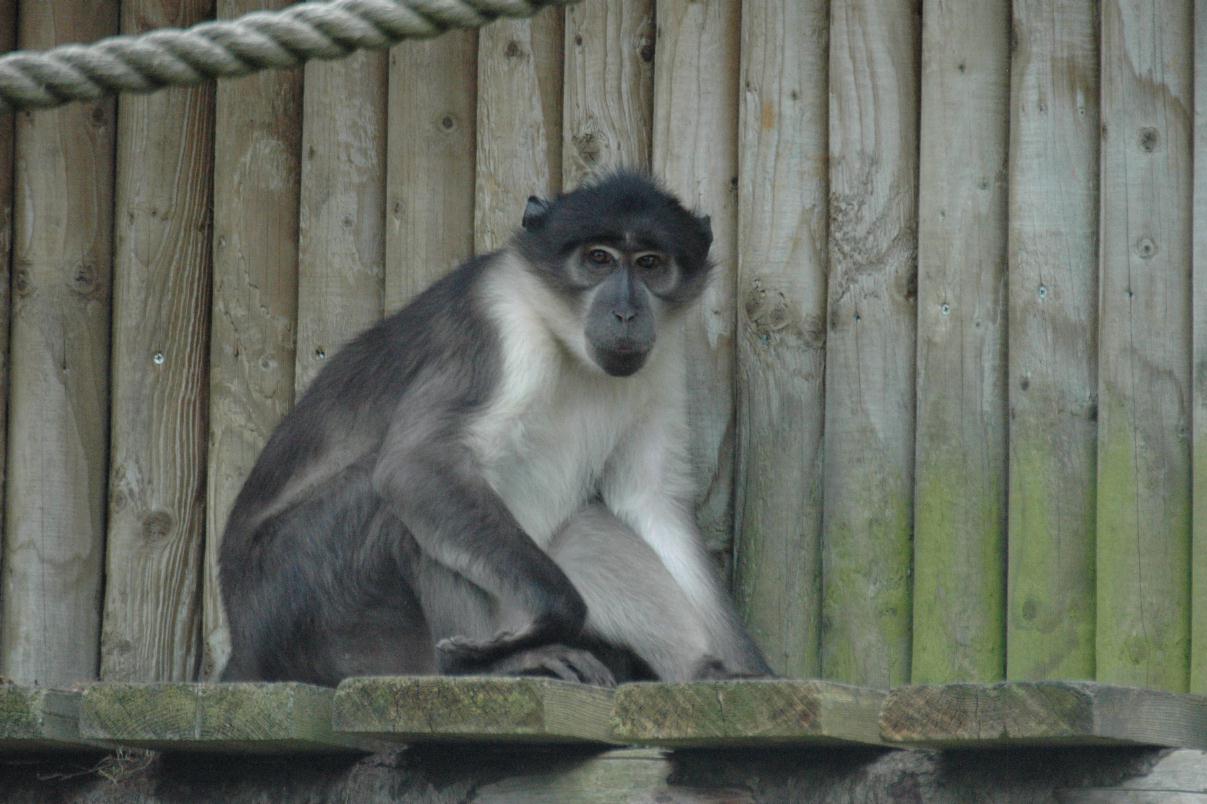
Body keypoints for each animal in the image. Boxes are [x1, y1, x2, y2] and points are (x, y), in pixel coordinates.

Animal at [219, 170, 772, 680]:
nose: (625, 312)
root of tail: (244, 645)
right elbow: (416, 465)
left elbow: (650, 502)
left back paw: (701, 669)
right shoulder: (497, 329)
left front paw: (749, 669)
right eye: (598, 259)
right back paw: (482, 667)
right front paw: (551, 621)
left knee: (586, 533)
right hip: (304, 608)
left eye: (650, 264)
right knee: (392, 500)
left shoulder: (661, 363)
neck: (565, 340)